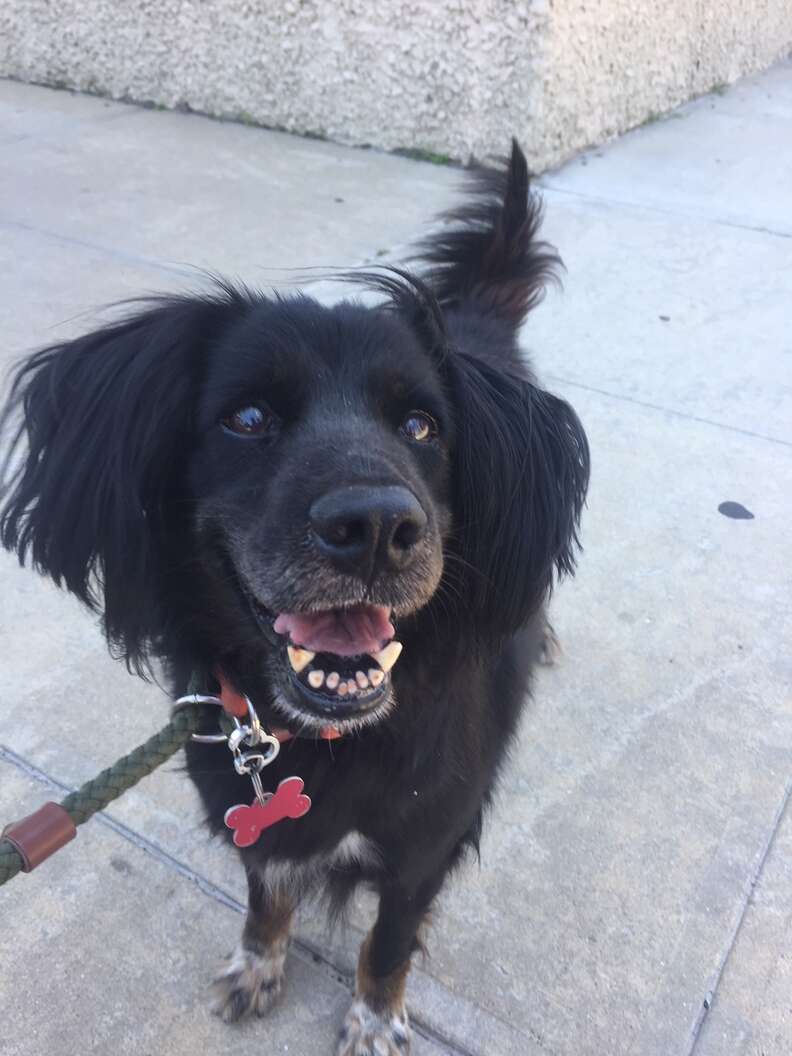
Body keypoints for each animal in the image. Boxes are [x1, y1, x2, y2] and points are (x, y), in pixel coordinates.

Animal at [0, 142, 591, 1056]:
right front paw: (258, 966)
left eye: (422, 426)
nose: (377, 527)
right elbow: (266, 895)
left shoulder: (425, 846)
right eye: (247, 418)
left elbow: (387, 944)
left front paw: (375, 1019)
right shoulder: (252, 811)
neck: (321, 737)